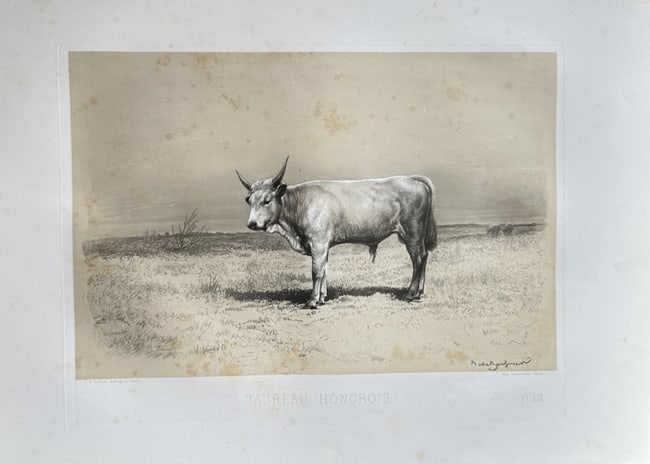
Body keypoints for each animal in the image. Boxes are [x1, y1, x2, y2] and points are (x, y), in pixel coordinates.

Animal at [236, 157, 437, 309]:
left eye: (267, 200)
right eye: (249, 200)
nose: (251, 224)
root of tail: (413, 179)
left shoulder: (318, 242)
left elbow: (316, 271)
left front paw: (312, 301)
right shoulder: (323, 245)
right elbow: (324, 269)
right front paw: (322, 298)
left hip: (412, 233)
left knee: (418, 260)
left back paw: (410, 294)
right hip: (414, 235)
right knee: (424, 257)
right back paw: (419, 293)